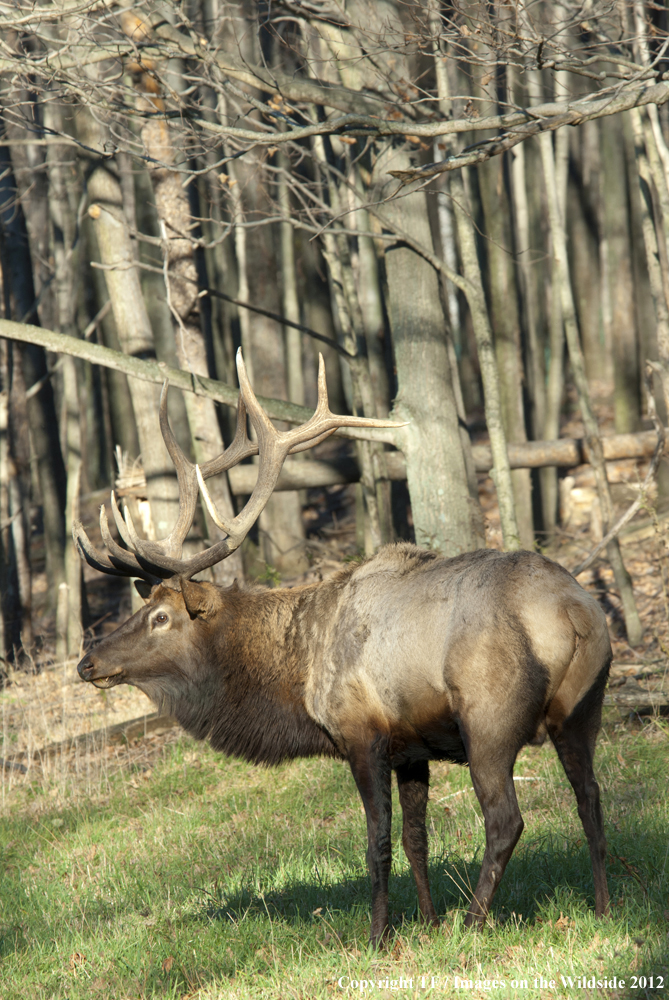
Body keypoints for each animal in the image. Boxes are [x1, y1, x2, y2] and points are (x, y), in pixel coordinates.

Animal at [74, 354, 612, 944]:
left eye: (161, 617)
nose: (87, 661)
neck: (297, 673)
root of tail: (574, 613)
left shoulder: (361, 731)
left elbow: (377, 844)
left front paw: (378, 936)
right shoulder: (412, 748)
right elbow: (416, 840)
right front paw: (426, 922)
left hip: (489, 717)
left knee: (506, 819)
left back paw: (473, 921)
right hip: (581, 709)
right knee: (590, 797)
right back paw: (605, 905)